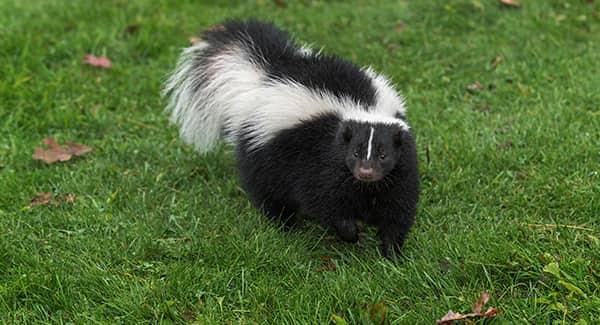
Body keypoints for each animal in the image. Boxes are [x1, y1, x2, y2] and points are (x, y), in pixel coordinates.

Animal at [162, 20, 420, 256]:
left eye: (384, 154)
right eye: (355, 152)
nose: (365, 172)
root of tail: (269, 73)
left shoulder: (400, 171)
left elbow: (397, 211)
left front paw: (392, 255)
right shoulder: (319, 162)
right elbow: (324, 201)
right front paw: (351, 233)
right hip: (263, 151)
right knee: (268, 191)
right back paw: (286, 225)